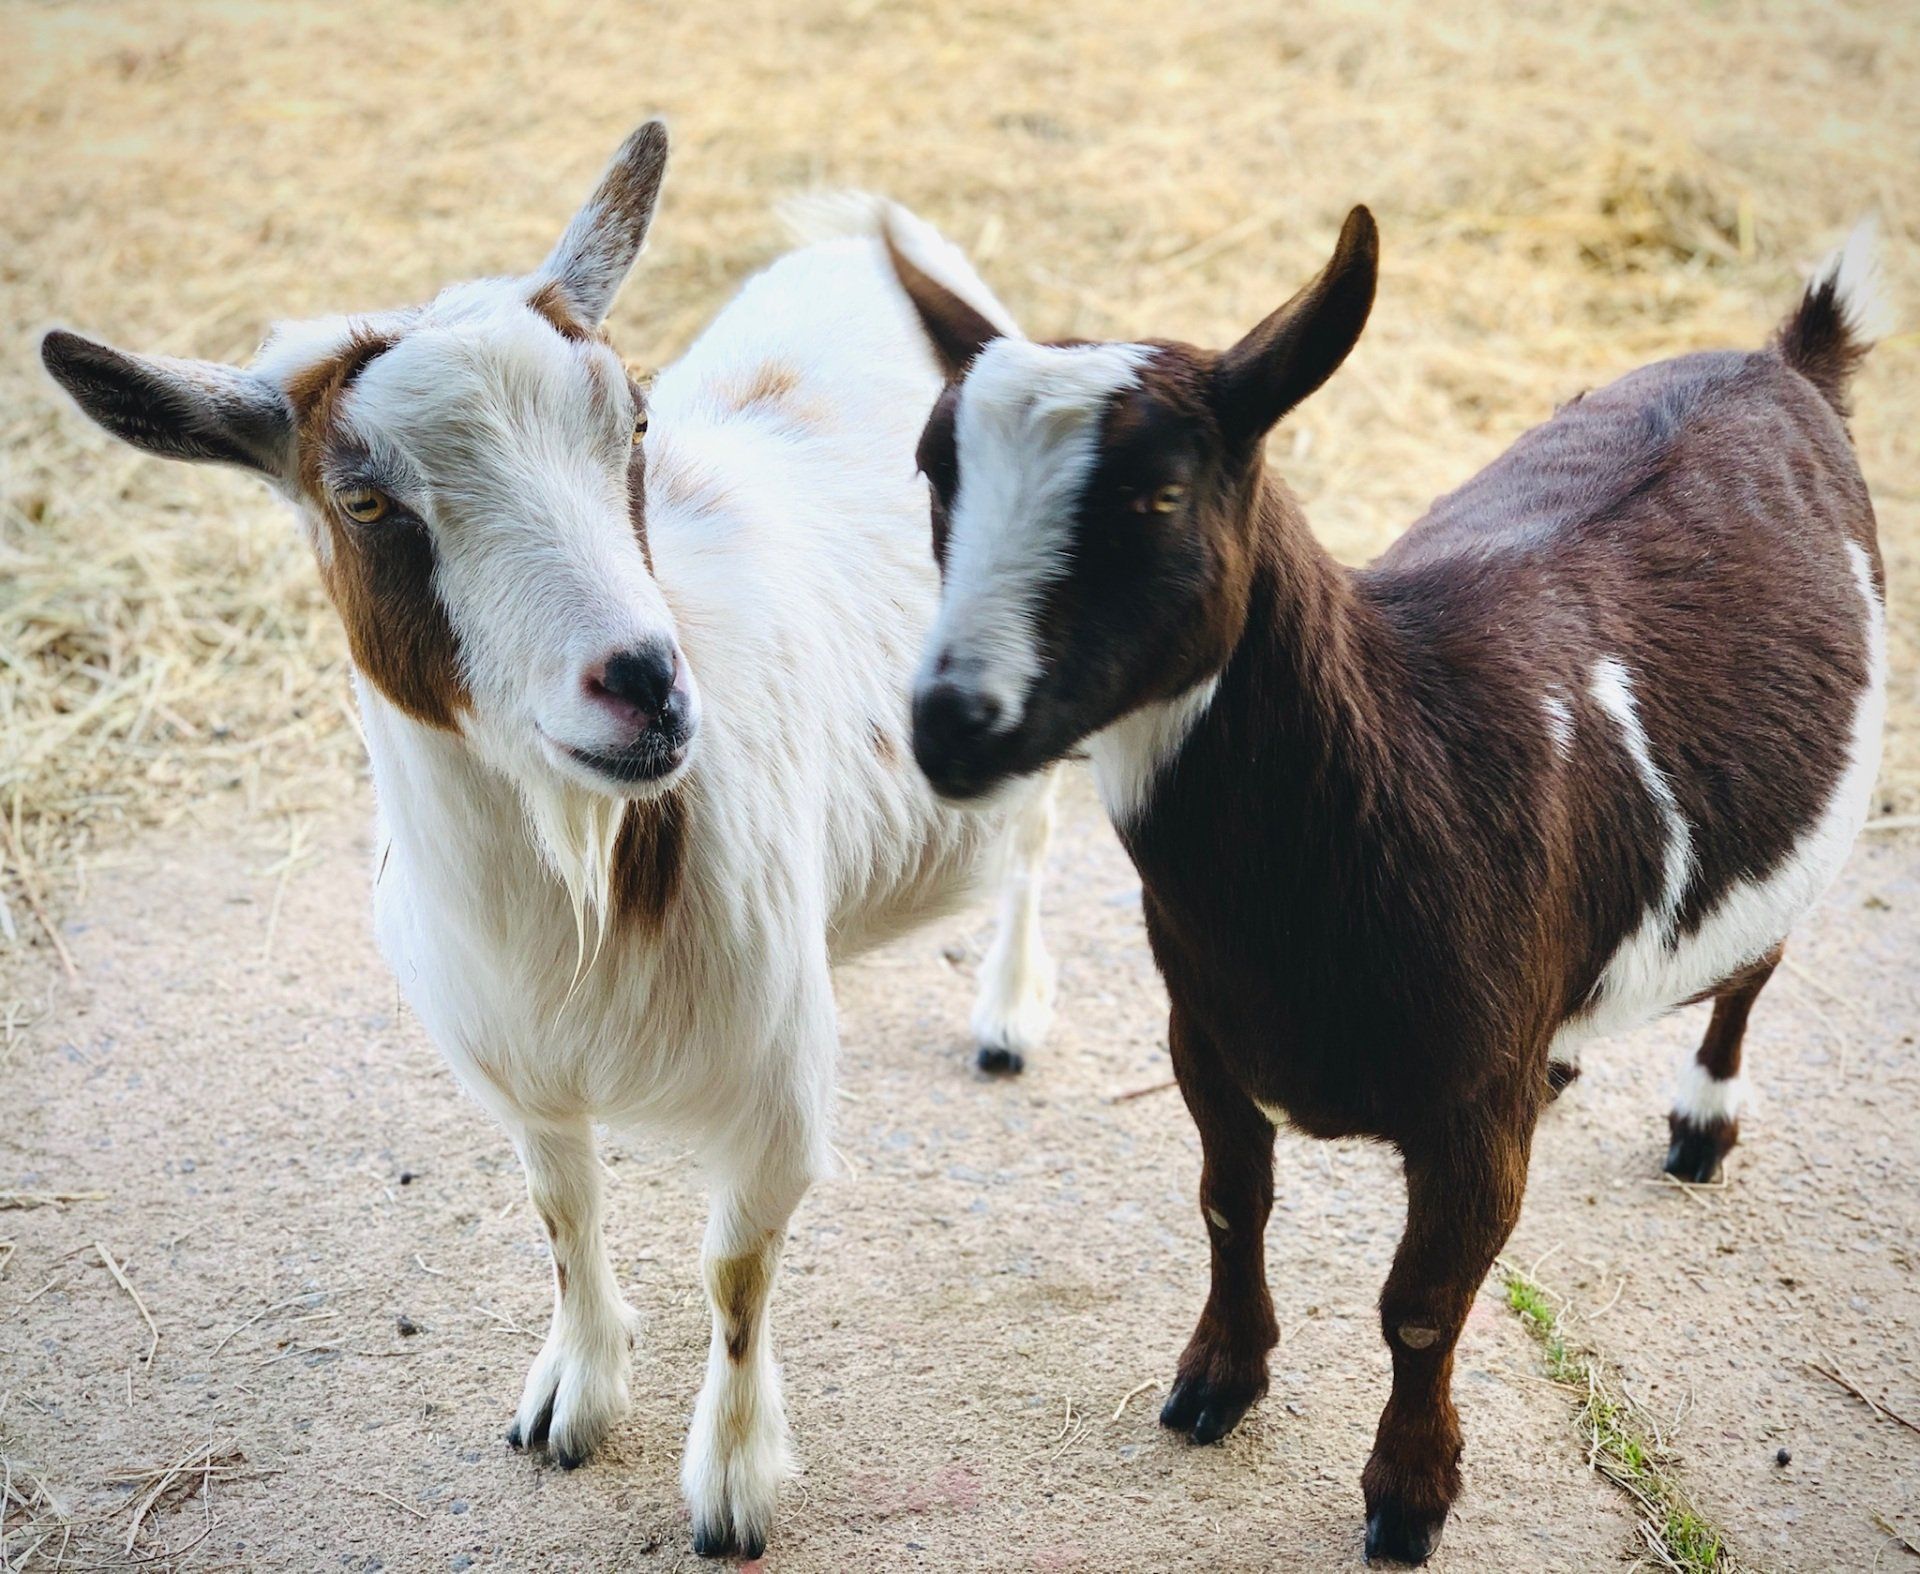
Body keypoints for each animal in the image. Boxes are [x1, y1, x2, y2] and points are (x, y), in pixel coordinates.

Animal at [41, 121, 1061, 1560]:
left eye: (629, 421)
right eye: (363, 500)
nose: (647, 683)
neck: (587, 888)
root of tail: (877, 249)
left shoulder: (772, 1094)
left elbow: (735, 1273)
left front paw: (732, 1482)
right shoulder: (515, 1064)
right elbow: (564, 1214)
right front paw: (572, 1399)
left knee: (1034, 838)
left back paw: (1010, 1011)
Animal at [885, 210, 1887, 1563]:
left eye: (1157, 494)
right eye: (934, 472)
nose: (952, 724)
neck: (1411, 758)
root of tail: (1790, 356)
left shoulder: (1469, 1107)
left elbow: (1421, 1303)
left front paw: (1410, 1492)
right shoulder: (1204, 1032)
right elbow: (1230, 1202)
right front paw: (1216, 1382)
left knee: (1751, 972)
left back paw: (1703, 1121)